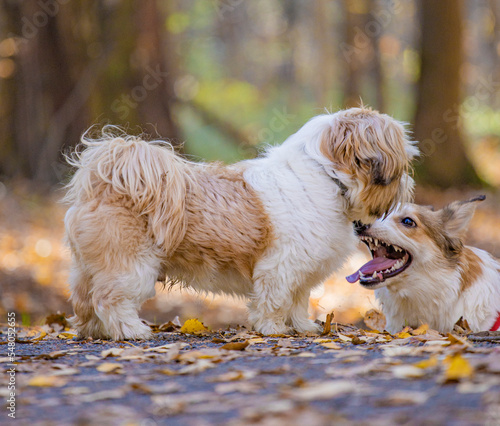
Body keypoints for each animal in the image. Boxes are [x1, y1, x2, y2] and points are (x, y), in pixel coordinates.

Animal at [65, 106, 418, 340]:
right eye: (401, 166)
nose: (408, 182)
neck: (326, 176)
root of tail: (106, 178)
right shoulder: (279, 268)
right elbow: (275, 301)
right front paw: (273, 329)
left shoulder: (301, 272)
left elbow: (298, 301)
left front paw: (303, 326)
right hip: (130, 267)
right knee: (110, 300)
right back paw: (130, 330)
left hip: (88, 268)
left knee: (85, 301)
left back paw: (95, 331)